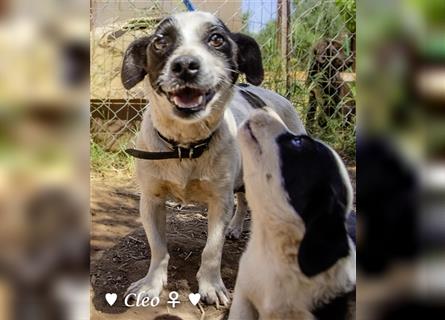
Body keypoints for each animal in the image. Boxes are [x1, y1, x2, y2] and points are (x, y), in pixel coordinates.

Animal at [119, 11, 304, 306]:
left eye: (217, 39)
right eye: (160, 42)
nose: (185, 65)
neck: (185, 145)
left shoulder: (219, 201)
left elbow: (212, 250)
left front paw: (211, 286)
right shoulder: (151, 200)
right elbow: (158, 248)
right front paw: (151, 285)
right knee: (243, 202)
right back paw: (236, 228)